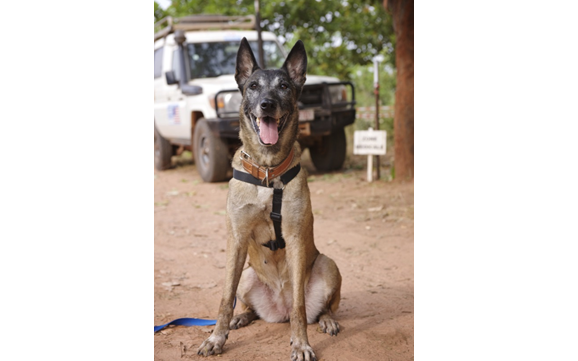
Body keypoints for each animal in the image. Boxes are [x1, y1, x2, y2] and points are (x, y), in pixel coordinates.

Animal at [198, 38, 340, 360]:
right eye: (253, 86)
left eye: (284, 86)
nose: (267, 104)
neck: (266, 170)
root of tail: (279, 308)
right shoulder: (236, 239)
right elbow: (224, 299)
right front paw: (216, 338)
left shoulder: (296, 237)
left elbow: (300, 306)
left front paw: (300, 343)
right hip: (247, 275)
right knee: (247, 306)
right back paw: (241, 317)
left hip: (328, 264)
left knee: (319, 308)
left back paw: (326, 320)